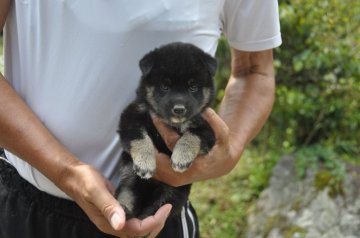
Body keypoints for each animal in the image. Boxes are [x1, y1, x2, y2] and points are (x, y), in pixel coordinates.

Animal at [116, 41, 217, 218]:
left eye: (193, 86)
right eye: (164, 86)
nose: (179, 109)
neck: (172, 123)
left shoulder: (207, 129)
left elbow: (191, 136)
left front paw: (181, 158)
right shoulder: (131, 117)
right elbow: (140, 138)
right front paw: (145, 163)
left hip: (171, 194)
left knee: (152, 212)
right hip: (129, 179)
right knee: (127, 197)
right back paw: (125, 211)